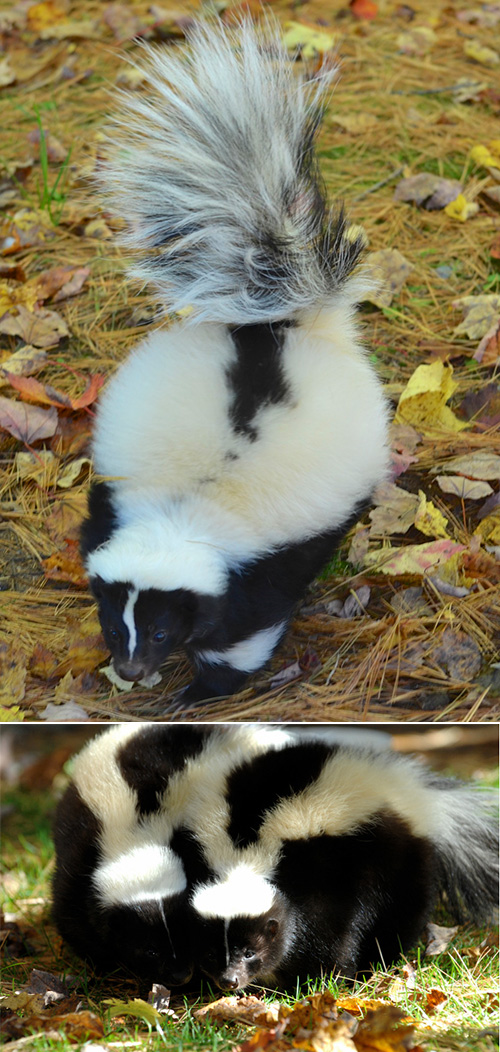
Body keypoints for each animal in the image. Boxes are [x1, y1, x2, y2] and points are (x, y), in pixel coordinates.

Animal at [52, 727, 498, 988]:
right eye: (148, 949)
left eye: (250, 951)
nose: (185, 975)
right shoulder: (81, 854)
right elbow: (76, 917)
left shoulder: (325, 874)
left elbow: (334, 932)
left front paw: (323, 980)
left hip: (397, 857)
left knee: (402, 911)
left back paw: (381, 960)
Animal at [80, 16, 389, 702]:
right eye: (116, 627)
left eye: (163, 630)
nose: (131, 669)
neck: (184, 509)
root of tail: (286, 328)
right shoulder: (111, 511)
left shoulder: (265, 562)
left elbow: (246, 627)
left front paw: (202, 688)